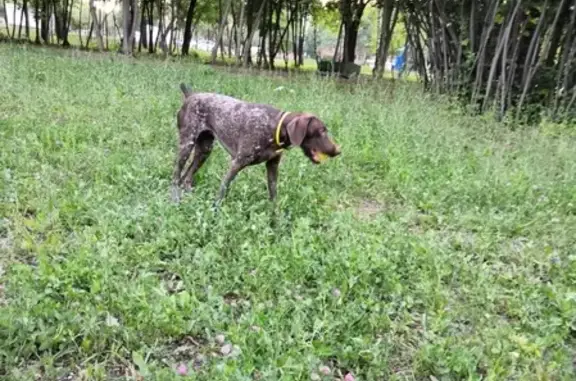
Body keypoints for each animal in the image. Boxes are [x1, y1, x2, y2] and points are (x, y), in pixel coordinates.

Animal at [173, 83, 340, 205]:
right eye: (321, 131)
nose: (338, 150)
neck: (276, 127)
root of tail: (191, 96)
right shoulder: (237, 163)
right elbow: (222, 190)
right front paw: (214, 211)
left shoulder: (272, 167)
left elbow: (273, 198)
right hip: (186, 146)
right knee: (176, 176)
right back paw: (174, 200)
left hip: (204, 150)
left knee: (186, 178)